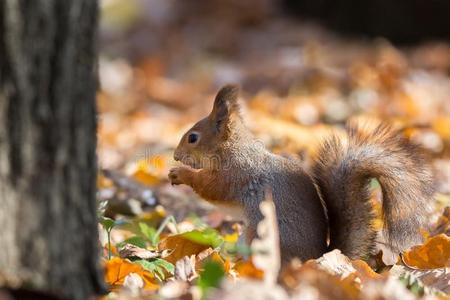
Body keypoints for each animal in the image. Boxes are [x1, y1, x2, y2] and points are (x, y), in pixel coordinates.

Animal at [168, 85, 432, 262]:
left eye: (193, 138)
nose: (176, 155)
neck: (234, 148)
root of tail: (316, 259)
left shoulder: (235, 174)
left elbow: (211, 188)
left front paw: (180, 173)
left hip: (264, 237)